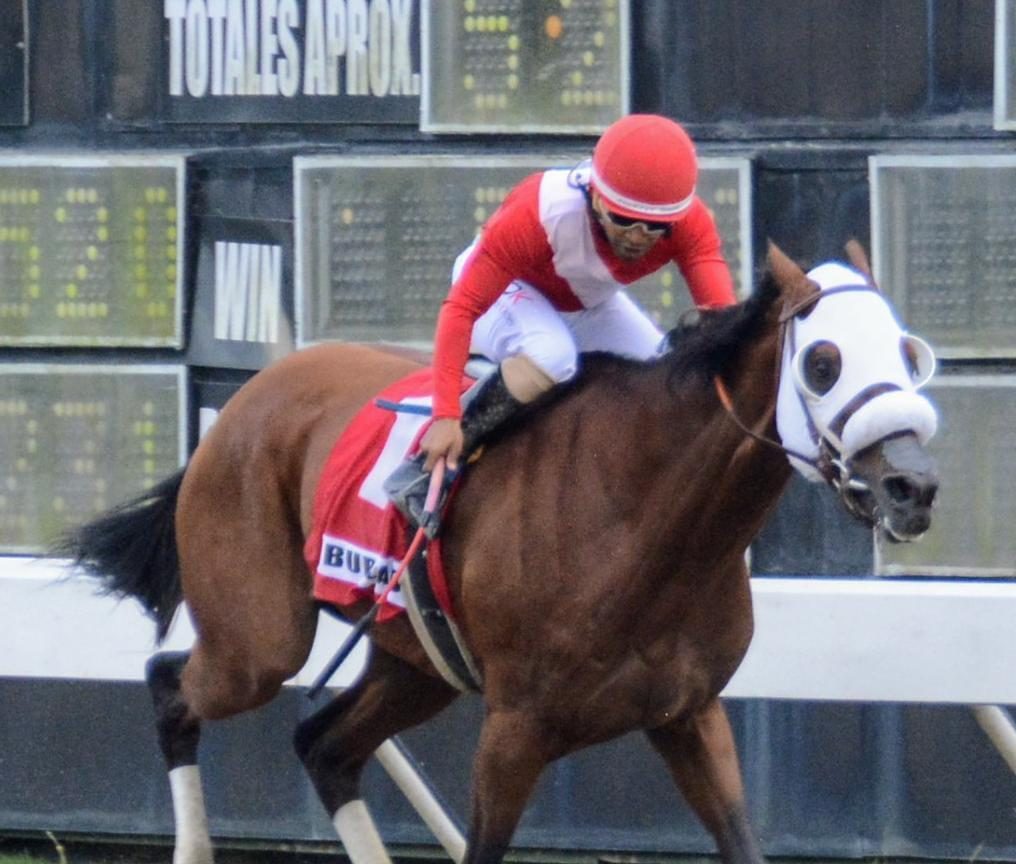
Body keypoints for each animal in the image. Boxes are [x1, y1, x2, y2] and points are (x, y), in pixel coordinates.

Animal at [61, 243, 939, 864]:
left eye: (909, 352)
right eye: (822, 362)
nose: (914, 486)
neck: (643, 522)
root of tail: (244, 401)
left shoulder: (689, 714)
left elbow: (741, 841)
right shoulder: (515, 730)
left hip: (415, 664)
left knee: (324, 748)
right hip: (258, 641)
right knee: (172, 688)